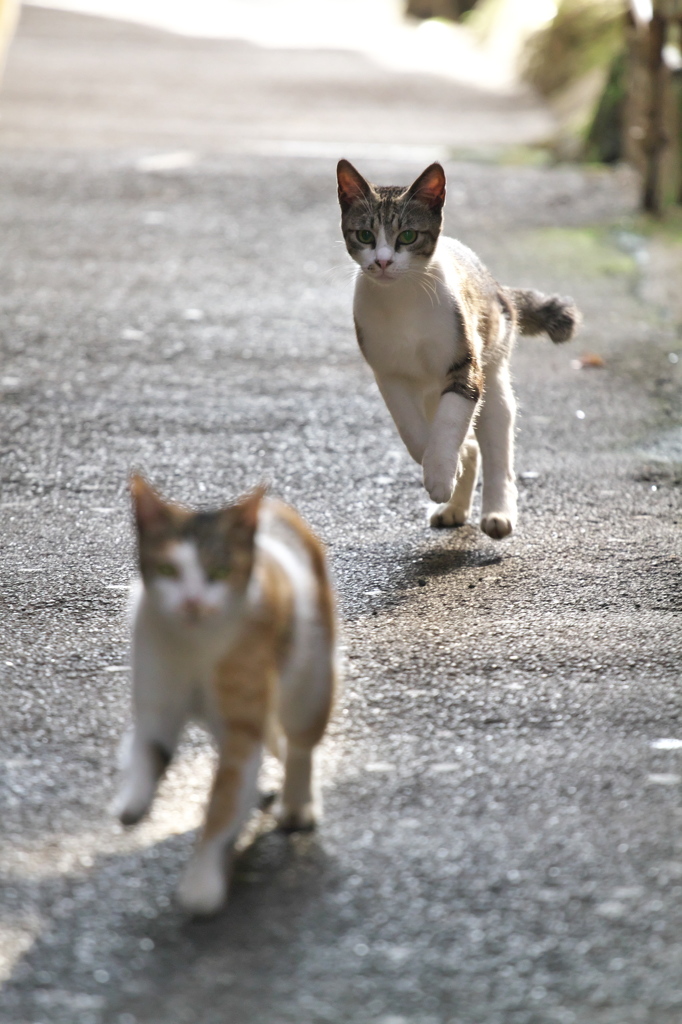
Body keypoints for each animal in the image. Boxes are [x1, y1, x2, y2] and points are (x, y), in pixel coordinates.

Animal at [111, 475, 337, 917]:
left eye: (219, 571)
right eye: (168, 570)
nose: (192, 602)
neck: (195, 645)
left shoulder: (242, 724)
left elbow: (224, 798)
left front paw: (201, 881)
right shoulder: (157, 697)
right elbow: (149, 748)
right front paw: (133, 800)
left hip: (310, 678)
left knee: (300, 744)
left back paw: (296, 803)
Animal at [333, 157, 577, 536]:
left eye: (407, 235)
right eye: (365, 235)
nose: (383, 262)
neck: (403, 300)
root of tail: (496, 284)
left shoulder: (465, 366)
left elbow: (449, 423)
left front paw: (440, 473)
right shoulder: (389, 374)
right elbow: (411, 428)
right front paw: (447, 465)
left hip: (494, 370)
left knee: (497, 444)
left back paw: (497, 513)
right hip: (431, 390)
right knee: (470, 442)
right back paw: (454, 505)